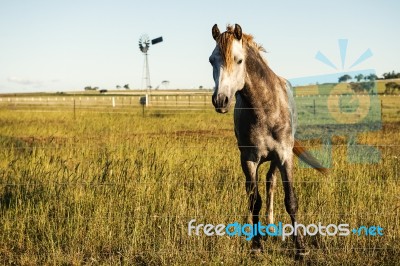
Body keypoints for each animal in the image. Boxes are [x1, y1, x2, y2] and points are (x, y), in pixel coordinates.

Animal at [209, 24, 328, 258]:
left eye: (238, 60)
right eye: (211, 60)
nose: (220, 100)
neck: (264, 108)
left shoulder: (284, 156)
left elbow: (291, 201)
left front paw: (300, 248)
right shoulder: (248, 160)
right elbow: (254, 201)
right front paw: (256, 246)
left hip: (275, 160)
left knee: (271, 182)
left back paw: (272, 226)